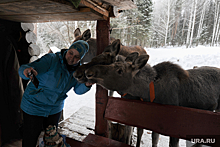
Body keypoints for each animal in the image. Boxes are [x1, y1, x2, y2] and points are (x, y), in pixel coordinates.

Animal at [84, 50, 220, 146]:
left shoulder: (174, 127)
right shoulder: (154, 120)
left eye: (120, 70)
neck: (150, 92)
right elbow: (152, 138)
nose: (89, 72)